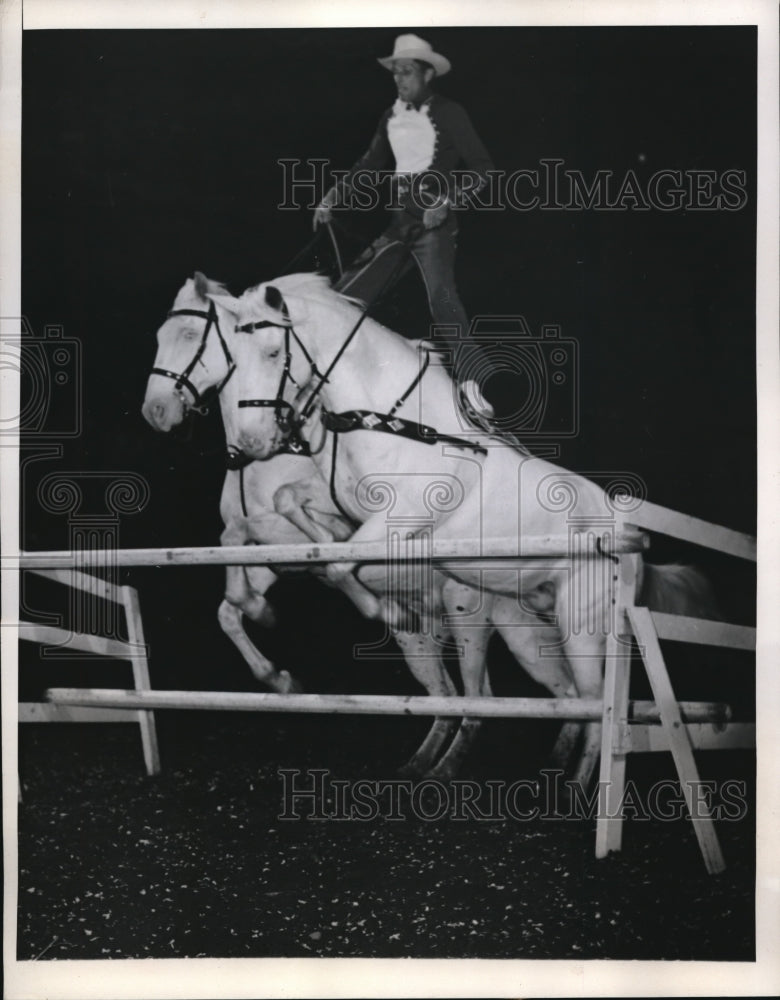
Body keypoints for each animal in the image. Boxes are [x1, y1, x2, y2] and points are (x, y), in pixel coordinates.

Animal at [219, 274, 720, 788]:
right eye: (231, 358)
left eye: (273, 353)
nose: (251, 443)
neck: (397, 424)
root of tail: (633, 540)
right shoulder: (345, 505)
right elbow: (302, 519)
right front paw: (272, 606)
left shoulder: (401, 519)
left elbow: (345, 567)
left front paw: (387, 610)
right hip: (531, 630)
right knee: (566, 696)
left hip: (581, 629)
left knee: (594, 709)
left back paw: (572, 791)